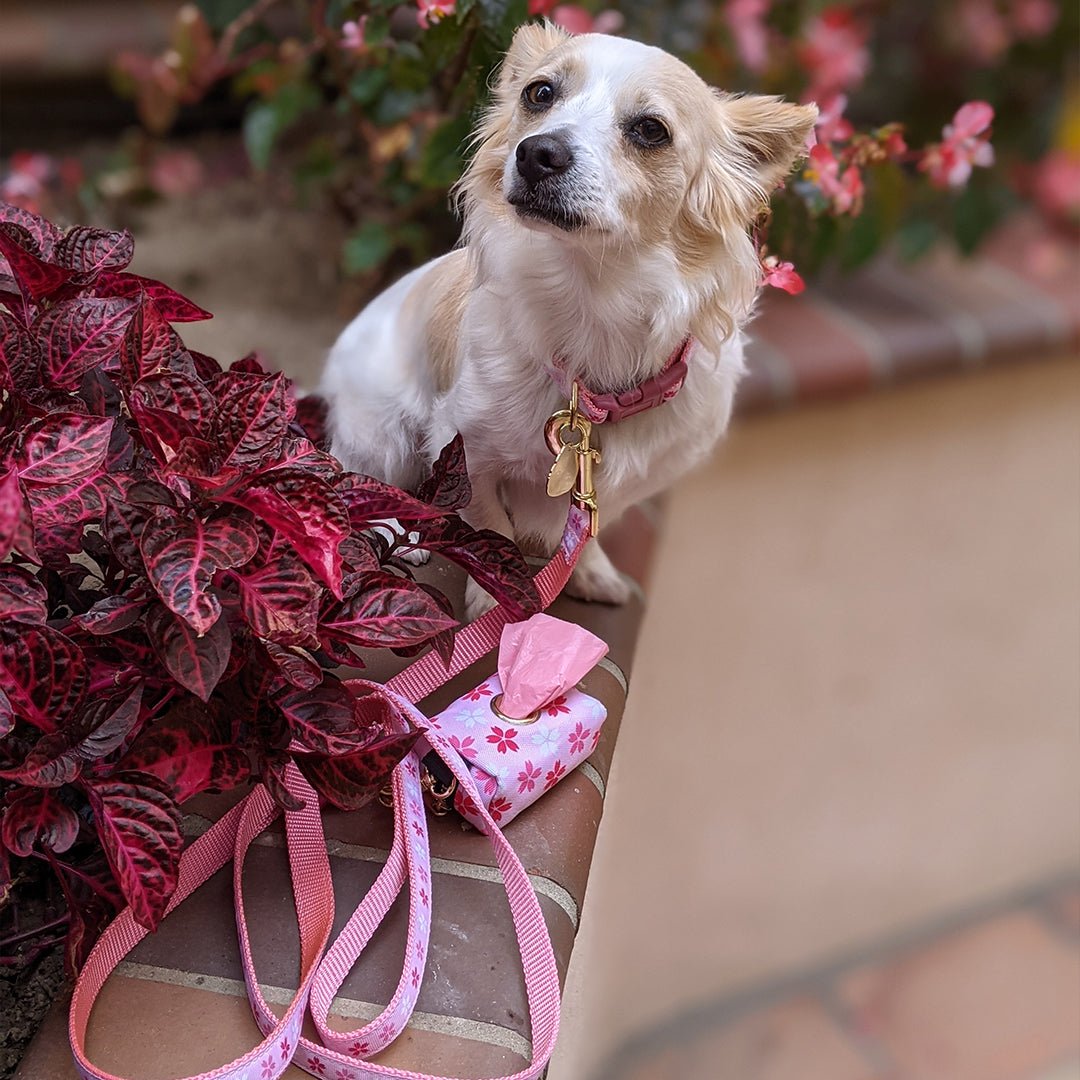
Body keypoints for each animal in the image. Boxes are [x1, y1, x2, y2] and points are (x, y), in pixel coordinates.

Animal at [319, 23, 816, 617]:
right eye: (539, 94)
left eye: (651, 130)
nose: (537, 151)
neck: (592, 301)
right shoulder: (464, 449)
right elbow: (491, 525)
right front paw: (497, 595)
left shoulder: (619, 483)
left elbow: (591, 527)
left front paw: (591, 571)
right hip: (383, 433)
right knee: (359, 480)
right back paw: (399, 529)